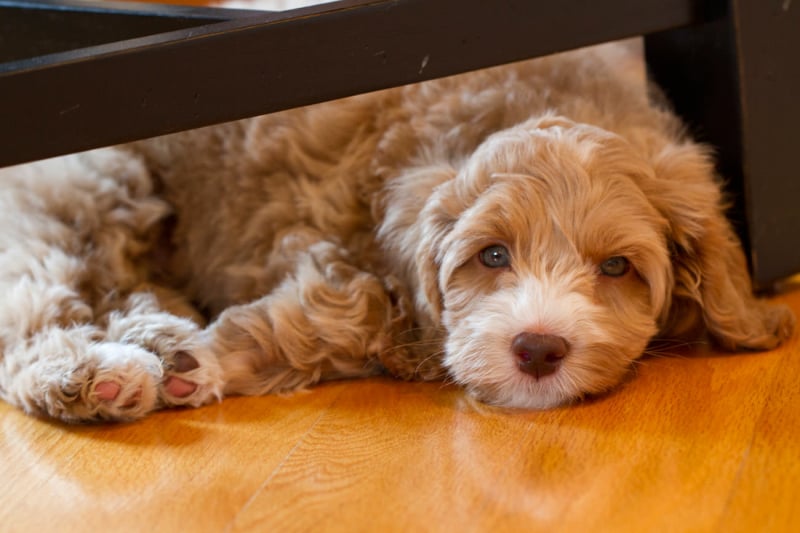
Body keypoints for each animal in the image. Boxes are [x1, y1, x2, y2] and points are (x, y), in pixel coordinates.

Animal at [0, 43, 792, 422]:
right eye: (492, 255)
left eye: (618, 268)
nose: (538, 349)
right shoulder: (312, 227)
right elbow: (352, 305)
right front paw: (203, 363)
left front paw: (193, 359)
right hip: (95, 187)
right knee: (39, 303)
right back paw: (95, 375)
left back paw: (152, 337)